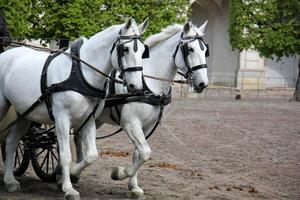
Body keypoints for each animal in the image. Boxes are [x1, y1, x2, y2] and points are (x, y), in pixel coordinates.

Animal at [0, 18, 149, 199]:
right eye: (125, 49)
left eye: (143, 51)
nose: (136, 86)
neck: (81, 73)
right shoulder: (62, 119)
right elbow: (65, 155)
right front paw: (68, 188)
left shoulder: (88, 120)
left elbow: (92, 155)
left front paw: (73, 173)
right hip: (3, 106)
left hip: (24, 114)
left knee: (11, 143)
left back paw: (10, 181)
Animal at [74, 20, 209, 198]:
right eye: (190, 49)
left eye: (205, 50)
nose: (203, 83)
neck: (149, 84)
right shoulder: (130, 123)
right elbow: (145, 153)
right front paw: (119, 173)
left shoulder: (147, 126)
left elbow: (138, 154)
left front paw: (134, 186)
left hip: (94, 118)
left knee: (77, 137)